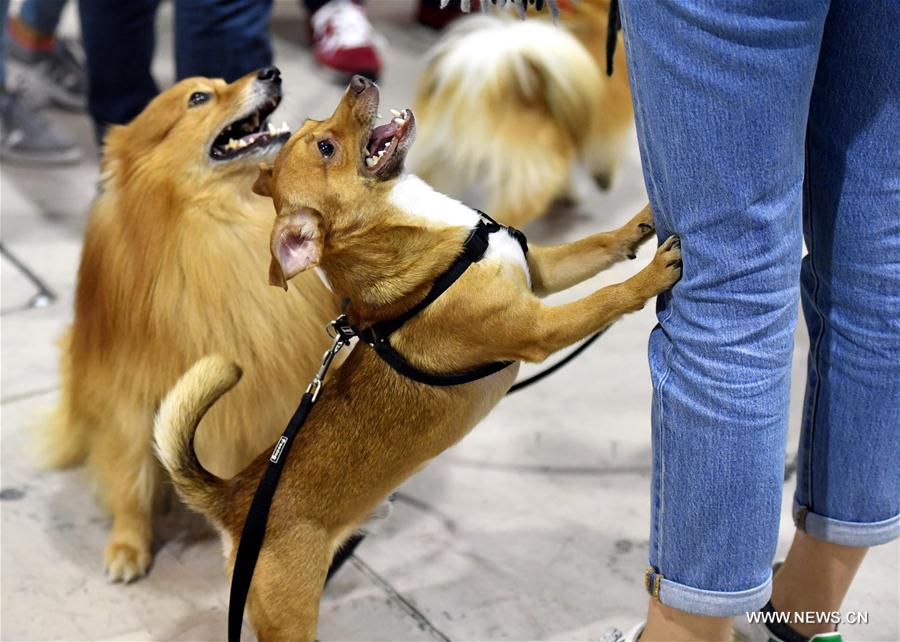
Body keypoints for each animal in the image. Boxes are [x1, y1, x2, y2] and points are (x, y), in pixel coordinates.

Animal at [43, 69, 338, 580]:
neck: (221, 223)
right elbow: (130, 481)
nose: (271, 71)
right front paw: (128, 546)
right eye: (199, 98)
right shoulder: (130, 400)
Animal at [155, 76, 684, 640]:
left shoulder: (540, 272)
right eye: (327, 147)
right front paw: (651, 277)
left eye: (314, 127)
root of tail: (233, 501)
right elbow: (605, 298)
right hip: (289, 620)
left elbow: (600, 244)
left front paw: (642, 221)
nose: (358, 81)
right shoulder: (538, 328)